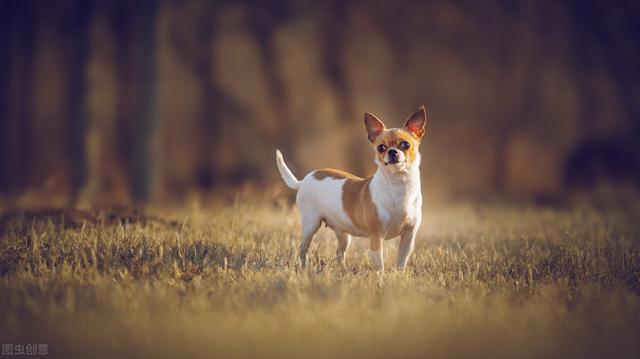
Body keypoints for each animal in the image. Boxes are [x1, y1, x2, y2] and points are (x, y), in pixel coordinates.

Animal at [274, 107, 424, 272]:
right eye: (381, 148)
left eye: (405, 145)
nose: (392, 151)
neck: (398, 186)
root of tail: (303, 180)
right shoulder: (376, 237)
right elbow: (379, 263)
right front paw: (381, 276)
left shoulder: (408, 237)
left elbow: (401, 260)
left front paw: (398, 274)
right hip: (311, 224)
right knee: (303, 247)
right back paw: (304, 266)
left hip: (344, 235)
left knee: (339, 252)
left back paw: (343, 269)